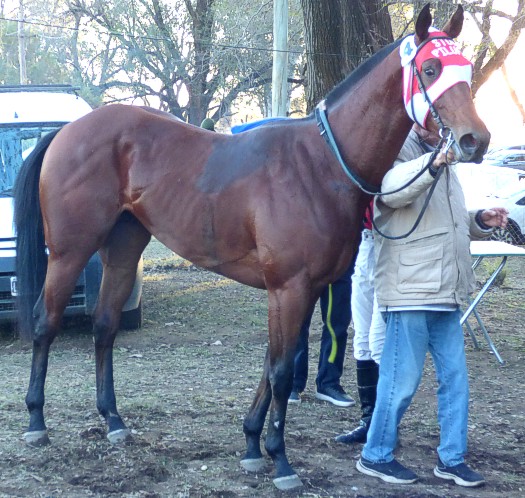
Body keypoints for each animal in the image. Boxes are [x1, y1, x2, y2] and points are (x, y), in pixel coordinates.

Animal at [14, 4, 489, 490]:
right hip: (70, 252)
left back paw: (112, 420)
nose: (476, 139)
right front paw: (279, 460)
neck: (321, 164)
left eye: (467, 70)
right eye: (430, 69)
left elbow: (272, 362)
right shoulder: (289, 287)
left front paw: (251, 445)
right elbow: (281, 371)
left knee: (105, 325)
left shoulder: (302, 290)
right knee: (45, 322)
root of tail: (69, 130)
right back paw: (36, 421)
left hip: (123, 251)